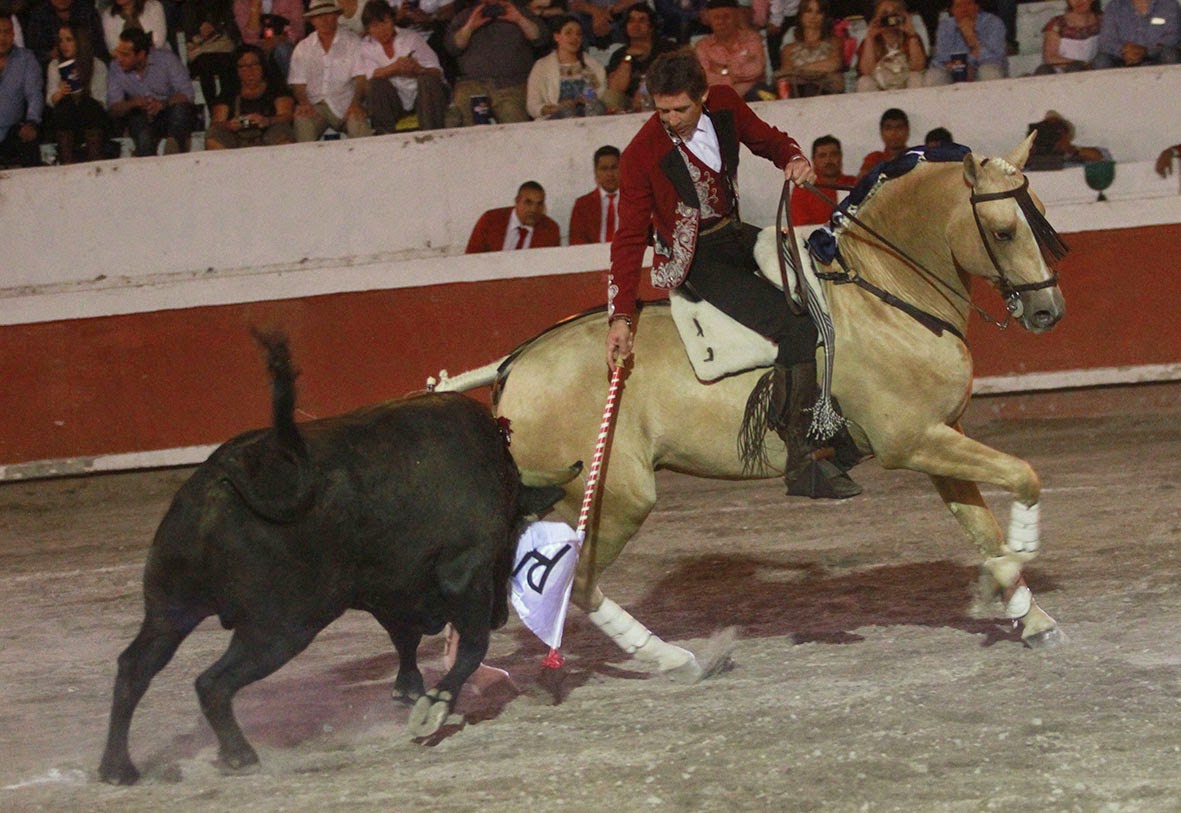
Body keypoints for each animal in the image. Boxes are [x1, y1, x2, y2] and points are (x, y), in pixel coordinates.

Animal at [98, 333, 573, 785]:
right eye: (513, 529)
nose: (500, 615)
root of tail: (221, 476)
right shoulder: (464, 571)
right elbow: (471, 644)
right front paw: (434, 703)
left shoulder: (388, 590)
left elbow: (405, 637)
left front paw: (408, 690)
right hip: (281, 627)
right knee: (212, 683)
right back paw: (239, 756)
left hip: (170, 607)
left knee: (135, 667)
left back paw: (117, 768)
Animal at [436, 136, 1068, 679]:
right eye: (1004, 232)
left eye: (1040, 214)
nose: (1048, 312)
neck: (885, 296)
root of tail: (513, 366)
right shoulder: (913, 442)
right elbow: (1025, 476)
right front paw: (1015, 561)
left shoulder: (941, 437)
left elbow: (981, 524)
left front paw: (1029, 613)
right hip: (614, 499)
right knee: (578, 582)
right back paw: (674, 659)